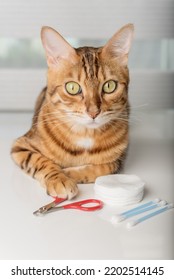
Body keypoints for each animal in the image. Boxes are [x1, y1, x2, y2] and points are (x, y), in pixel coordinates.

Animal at [11, 24, 135, 199]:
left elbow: (105, 168)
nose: (93, 112)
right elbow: (41, 161)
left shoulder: (120, 159)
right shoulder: (21, 146)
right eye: (72, 88)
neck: (85, 135)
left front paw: (70, 173)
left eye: (109, 86)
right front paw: (59, 179)